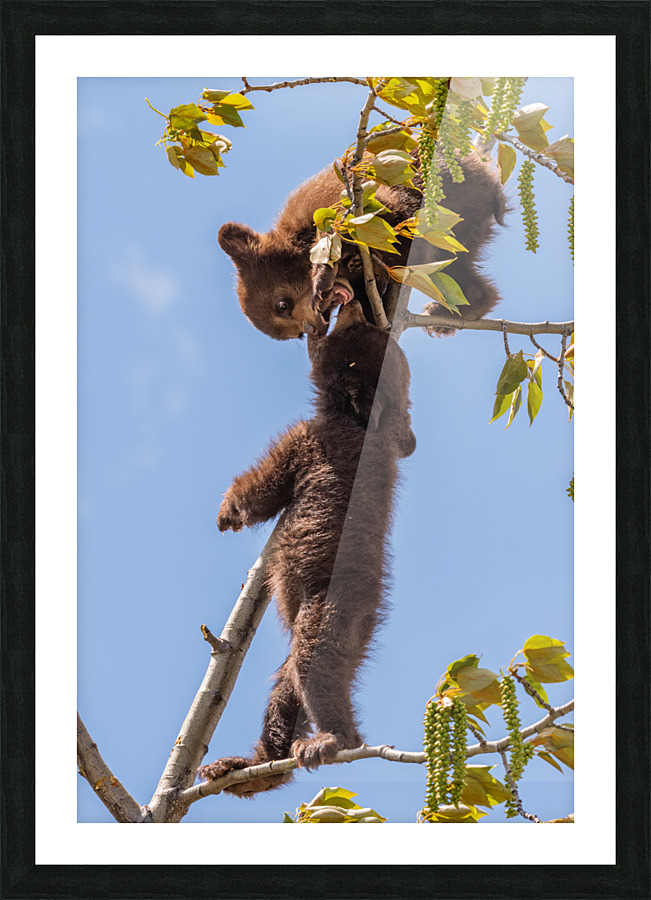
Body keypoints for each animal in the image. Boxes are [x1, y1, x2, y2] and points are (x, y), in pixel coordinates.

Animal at [197, 299, 416, 796]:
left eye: (349, 341)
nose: (351, 309)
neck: (361, 422)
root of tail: (370, 613)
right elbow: (407, 439)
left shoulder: (309, 440)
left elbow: (263, 489)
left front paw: (227, 512)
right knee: (286, 687)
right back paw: (251, 766)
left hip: (330, 606)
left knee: (313, 665)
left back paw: (335, 738)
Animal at [217, 152, 506, 341]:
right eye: (296, 334)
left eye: (282, 305)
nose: (313, 330)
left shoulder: (332, 202)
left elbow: (381, 211)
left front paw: (326, 272)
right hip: (466, 231)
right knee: (454, 269)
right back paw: (455, 310)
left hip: (452, 194)